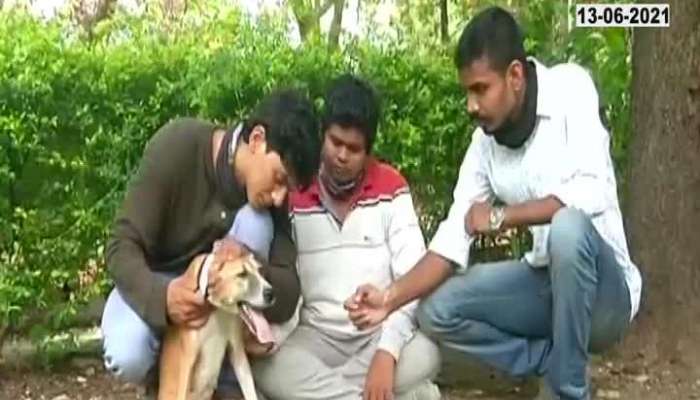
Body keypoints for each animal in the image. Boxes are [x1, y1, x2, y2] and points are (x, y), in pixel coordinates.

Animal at [157, 253, 274, 400]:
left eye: (260, 271)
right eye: (242, 274)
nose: (271, 293)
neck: (218, 309)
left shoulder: (237, 351)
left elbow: (249, 389)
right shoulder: (188, 358)